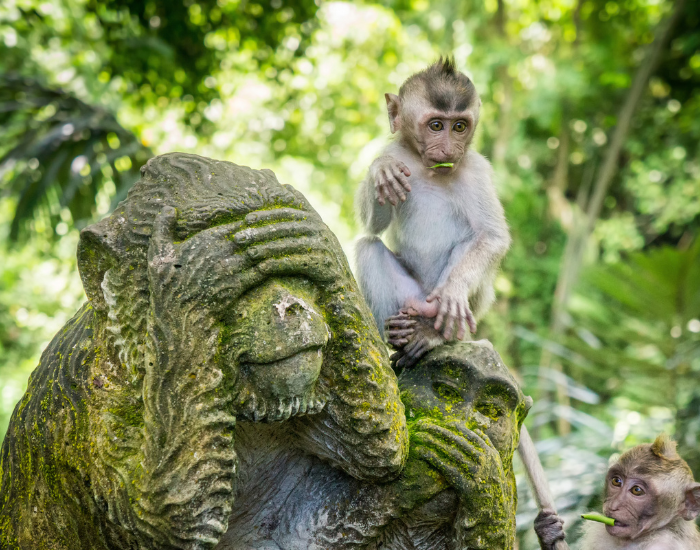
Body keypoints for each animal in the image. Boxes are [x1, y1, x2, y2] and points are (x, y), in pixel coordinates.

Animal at [354, 57, 511, 367]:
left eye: (460, 127)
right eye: (436, 125)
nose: (449, 149)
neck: (428, 169)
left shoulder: (476, 170)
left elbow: (492, 236)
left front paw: (454, 290)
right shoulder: (396, 151)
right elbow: (372, 226)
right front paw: (380, 169)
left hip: (459, 307)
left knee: (470, 245)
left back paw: (434, 334)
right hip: (409, 296)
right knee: (367, 246)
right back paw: (395, 333)